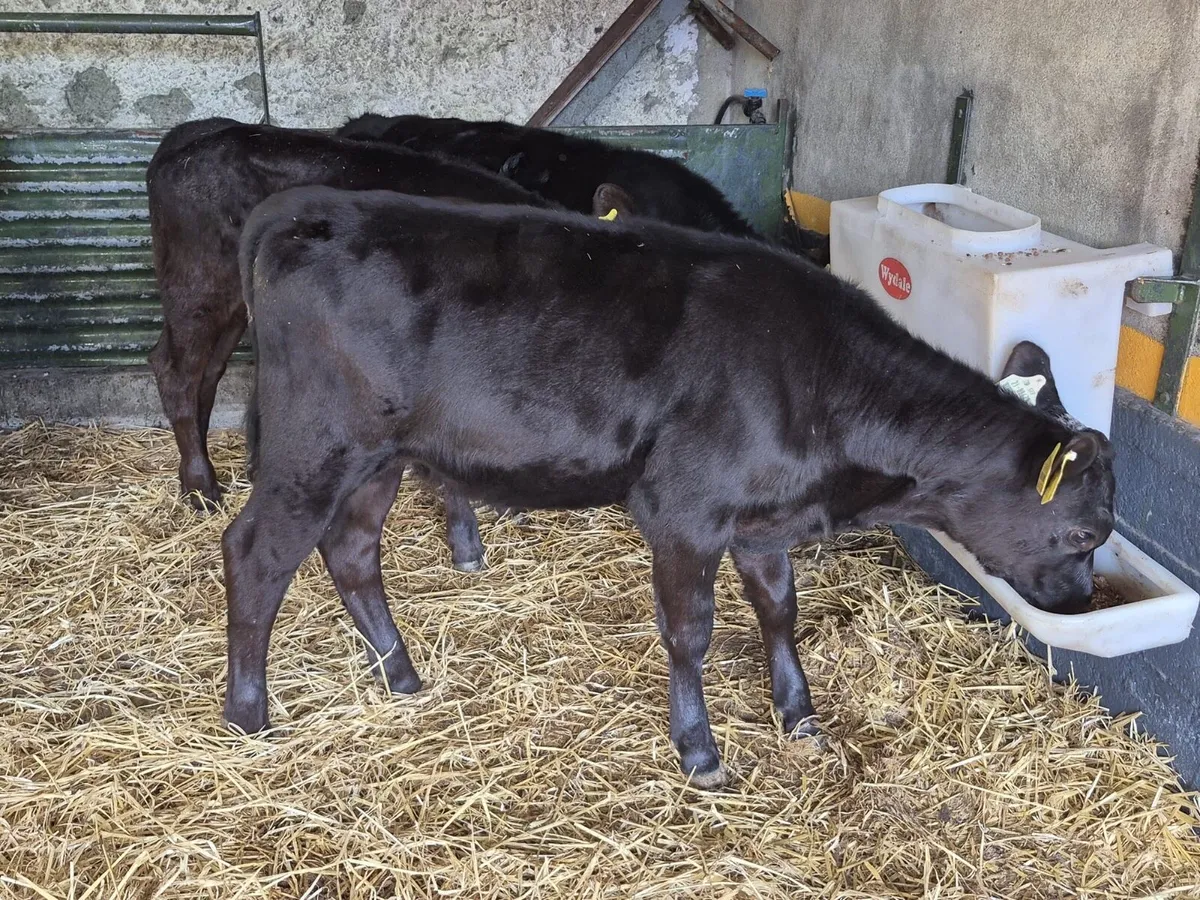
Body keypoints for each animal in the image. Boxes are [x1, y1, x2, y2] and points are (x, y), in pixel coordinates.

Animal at [145, 118, 629, 570]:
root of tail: (192, 138)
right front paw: (466, 541)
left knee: (207, 373)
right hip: (199, 284)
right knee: (174, 372)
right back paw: (200, 486)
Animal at [223, 186, 1115, 788]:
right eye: (1084, 533)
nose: (1077, 604)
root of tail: (316, 211)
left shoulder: (762, 521)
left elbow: (779, 610)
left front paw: (798, 714)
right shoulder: (686, 513)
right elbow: (691, 633)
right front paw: (700, 747)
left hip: (379, 458)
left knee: (350, 551)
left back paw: (400, 674)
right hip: (315, 444)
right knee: (255, 554)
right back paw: (248, 715)